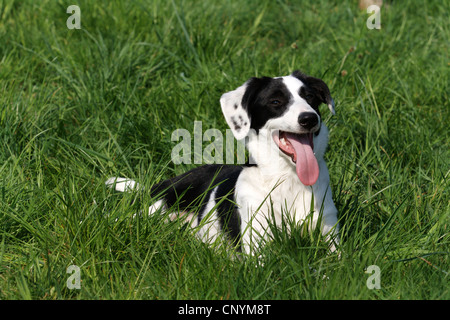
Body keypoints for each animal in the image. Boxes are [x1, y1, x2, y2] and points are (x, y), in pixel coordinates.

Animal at [106, 72, 338, 255]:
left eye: (310, 97)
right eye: (275, 102)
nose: (309, 118)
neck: (288, 178)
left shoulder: (328, 229)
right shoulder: (259, 242)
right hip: (156, 207)